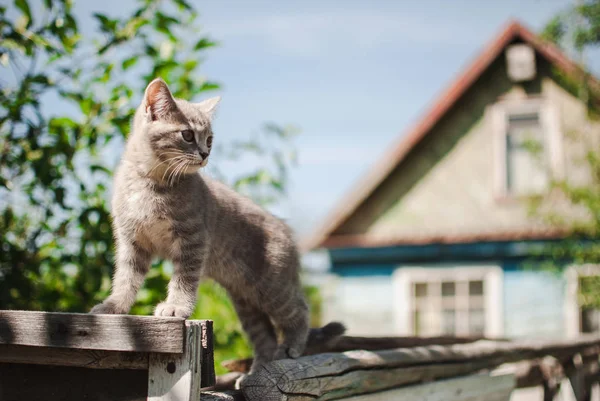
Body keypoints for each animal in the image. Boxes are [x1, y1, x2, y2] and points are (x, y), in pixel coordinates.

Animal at [89, 78, 342, 372]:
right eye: (187, 135)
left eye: (209, 139)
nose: (205, 153)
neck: (151, 182)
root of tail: (288, 232)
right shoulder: (132, 241)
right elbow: (126, 277)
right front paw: (112, 306)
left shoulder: (193, 240)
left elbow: (184, 279)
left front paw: (176, 307)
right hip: (246, 301)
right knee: (264, 337)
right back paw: (254, 372)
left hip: (271, 285)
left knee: (299, 309)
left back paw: (292, 345)